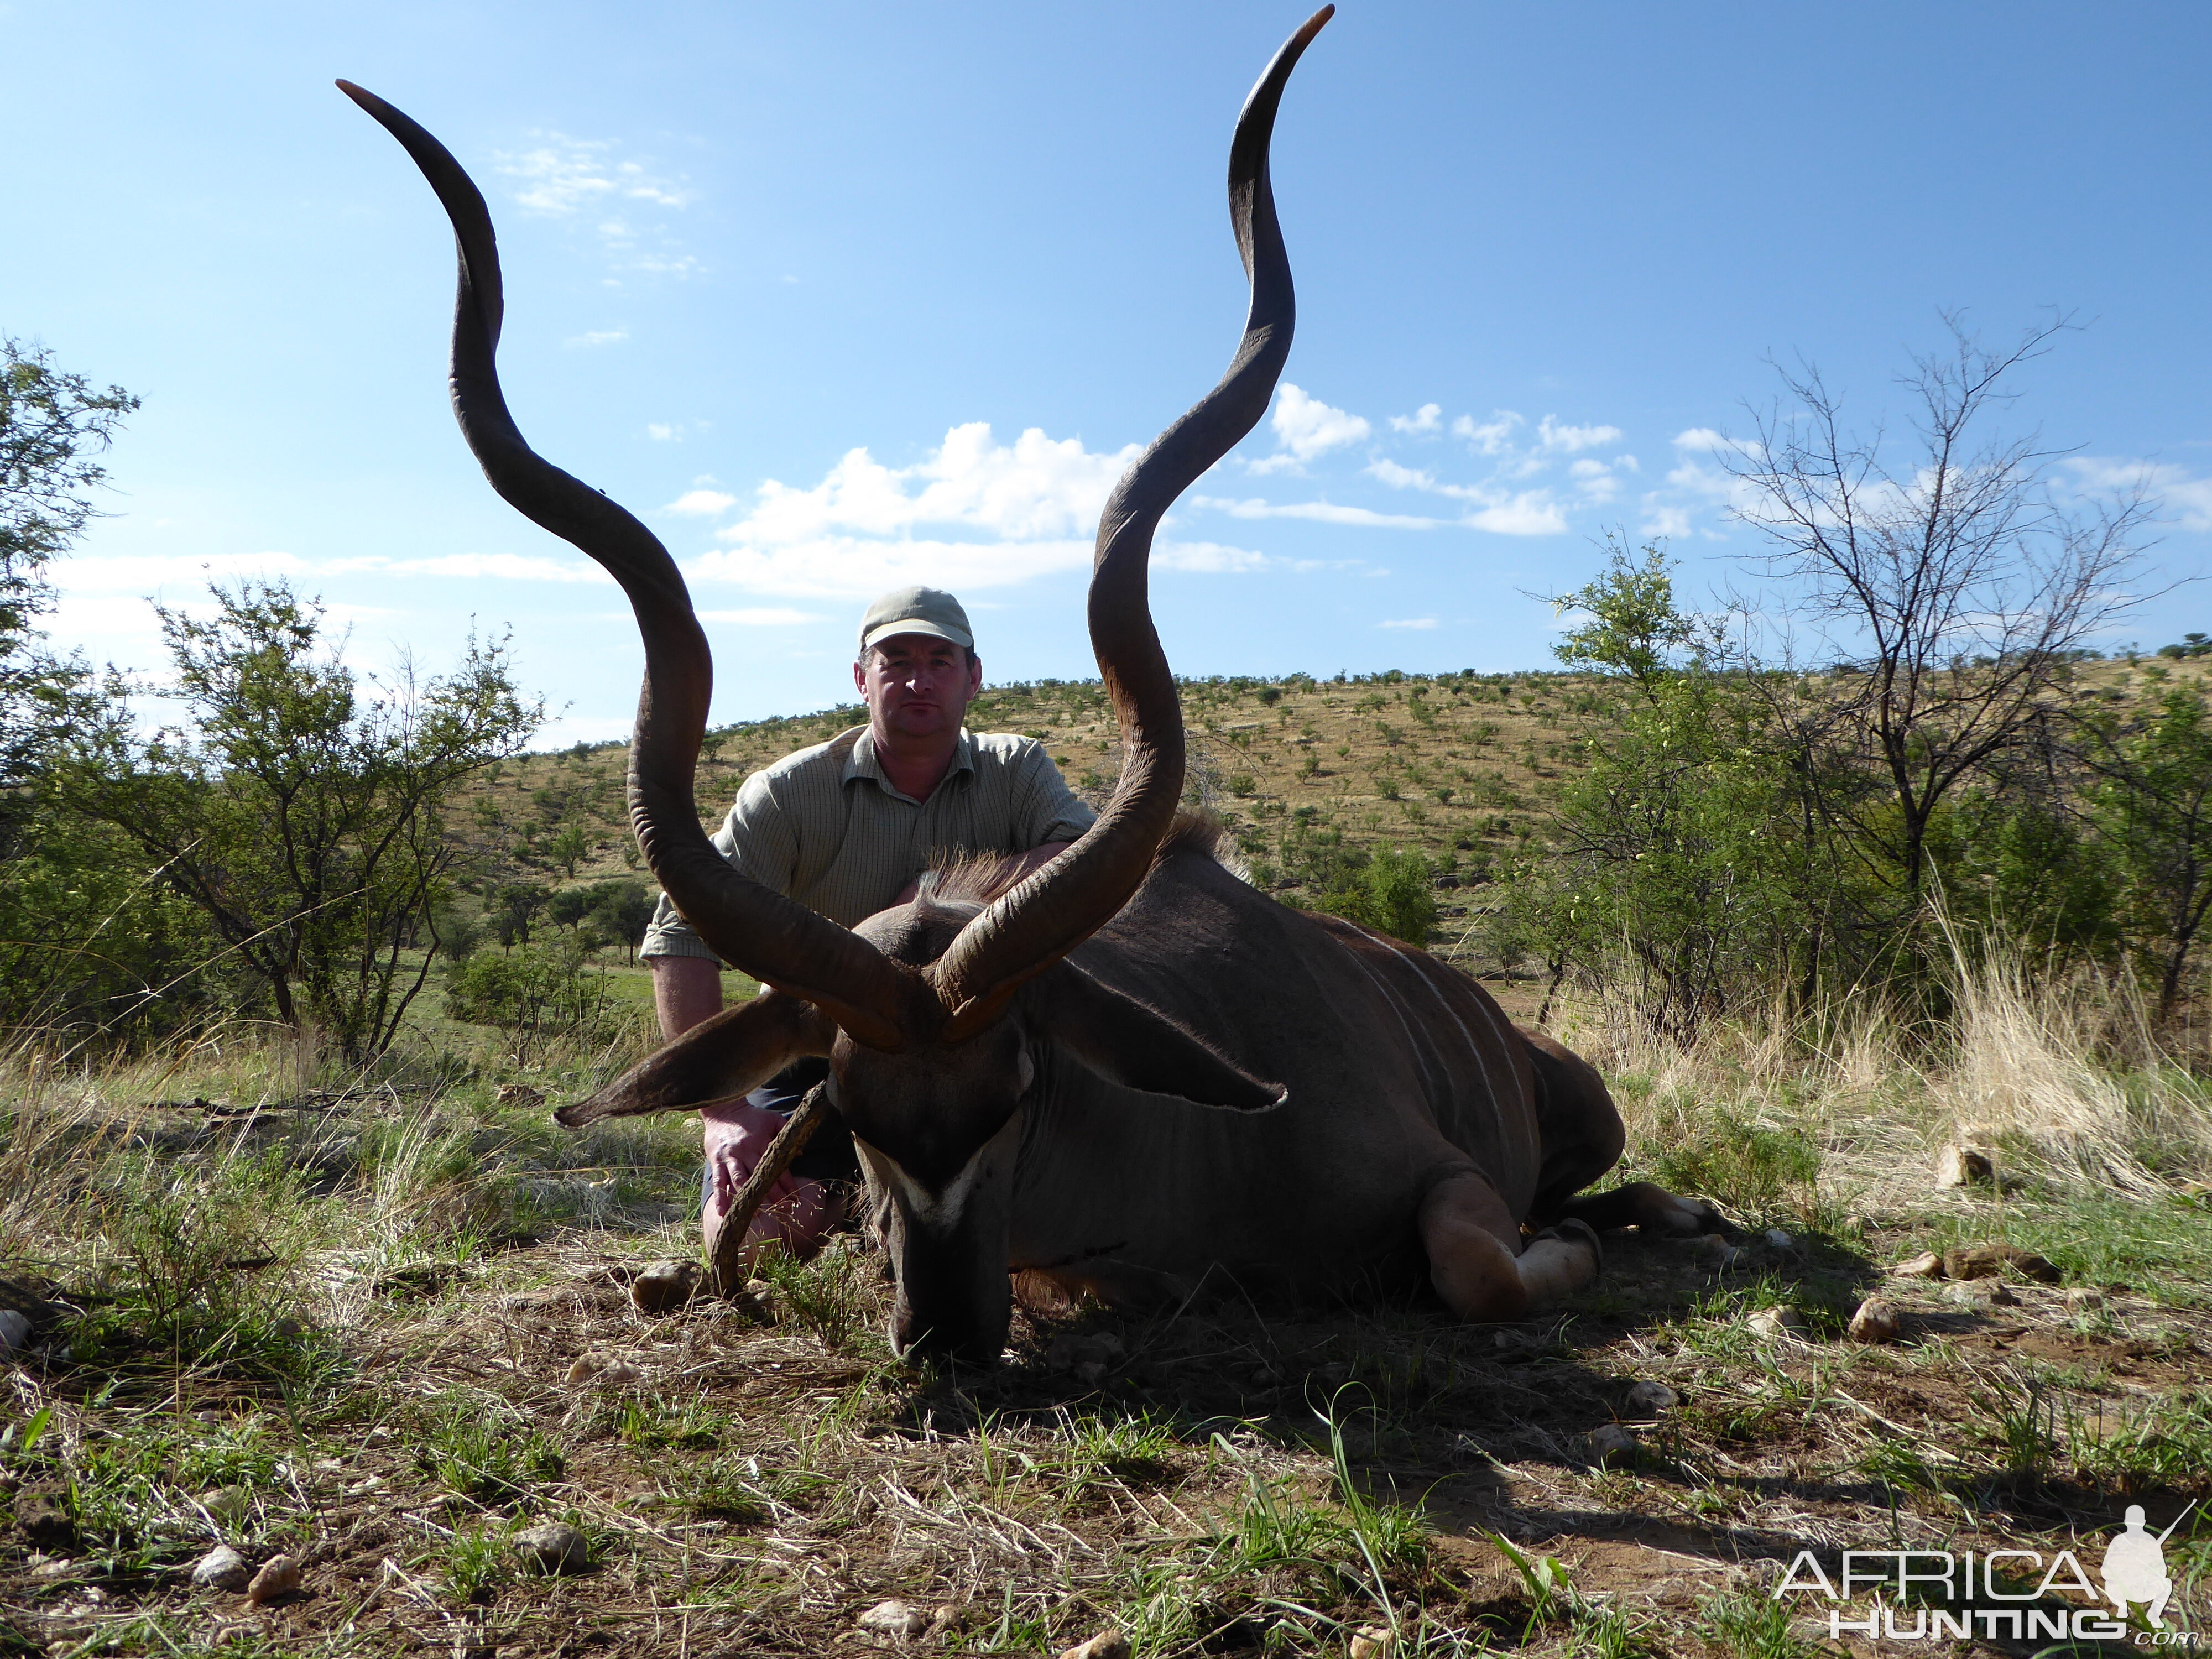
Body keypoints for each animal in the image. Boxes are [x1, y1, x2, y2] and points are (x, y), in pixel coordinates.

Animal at [345, 9, 1725, 1363]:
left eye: (1013, 1089)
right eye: (845, 1111)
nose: (941, 1337)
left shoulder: (1446, 1183)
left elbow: (1479, 1269)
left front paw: (1578, 1249)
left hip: (1583, 1114)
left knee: (1612, 1187)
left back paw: (1684, 1219)